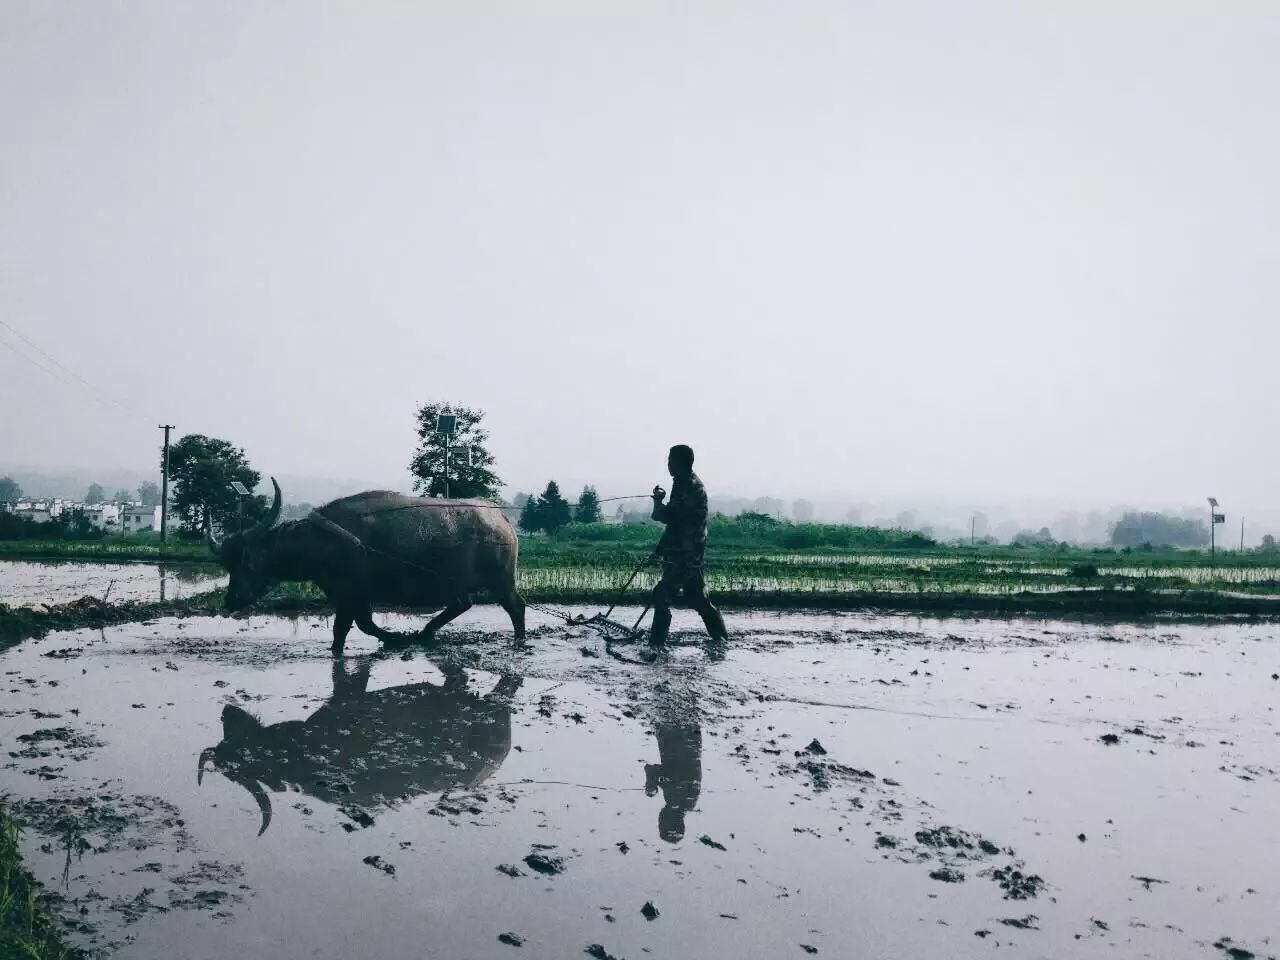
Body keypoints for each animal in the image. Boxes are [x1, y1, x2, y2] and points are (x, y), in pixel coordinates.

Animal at [207, 478, 527, 655]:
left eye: (248, 561)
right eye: (226, 565)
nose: (232, 599)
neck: (319, 542)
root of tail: (500, 517)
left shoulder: (352, 595)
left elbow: (351, 627)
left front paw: (395, 639)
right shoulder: (349, 597)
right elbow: (356, 627)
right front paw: (395, 639)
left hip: (501, 581)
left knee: (516, 606)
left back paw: (519, 641)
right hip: (456, 583)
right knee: (462, 603)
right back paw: (426, 632)